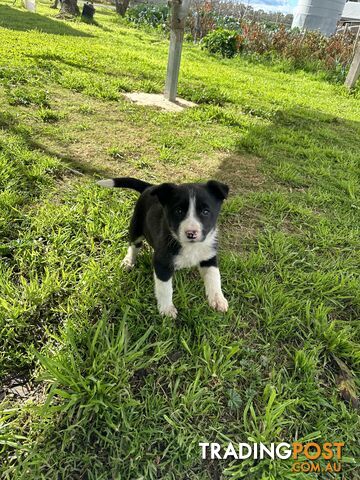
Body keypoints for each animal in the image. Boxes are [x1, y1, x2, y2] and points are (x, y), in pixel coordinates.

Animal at [97, 176, 229, 318]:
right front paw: (166, 310)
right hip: (136, 225)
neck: (190, 246)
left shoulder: (209, 256)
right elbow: (165, 288)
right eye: (179, 211)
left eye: (205, 212)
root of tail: (151, 187)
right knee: (134, 245)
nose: (191, 233)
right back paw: (128, 261)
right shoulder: (162, 262)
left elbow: (214, 277)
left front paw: (218, 300)